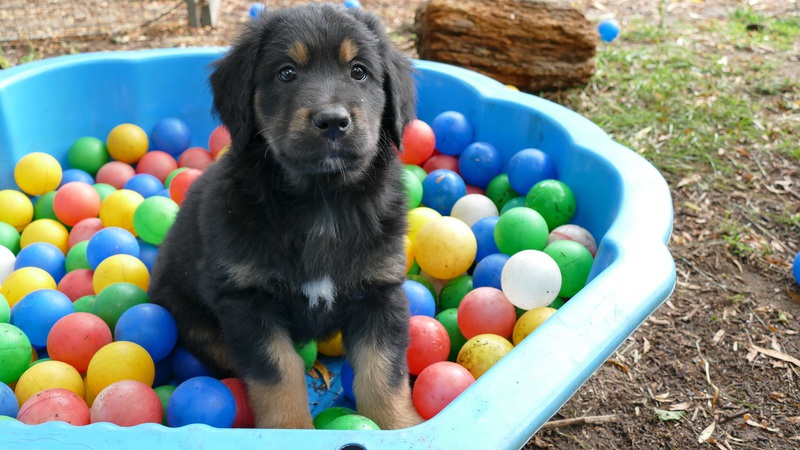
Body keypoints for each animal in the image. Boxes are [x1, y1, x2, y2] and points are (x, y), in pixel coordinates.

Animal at [148, 3, 423, 430]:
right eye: (287, 73)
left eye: (358, 71)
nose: (332, 121)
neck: (321, 201)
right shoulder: (247, 300)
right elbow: (278, 373)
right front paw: (289, 430)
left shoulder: (380, 291)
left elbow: (383, 373)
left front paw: (400, 428)